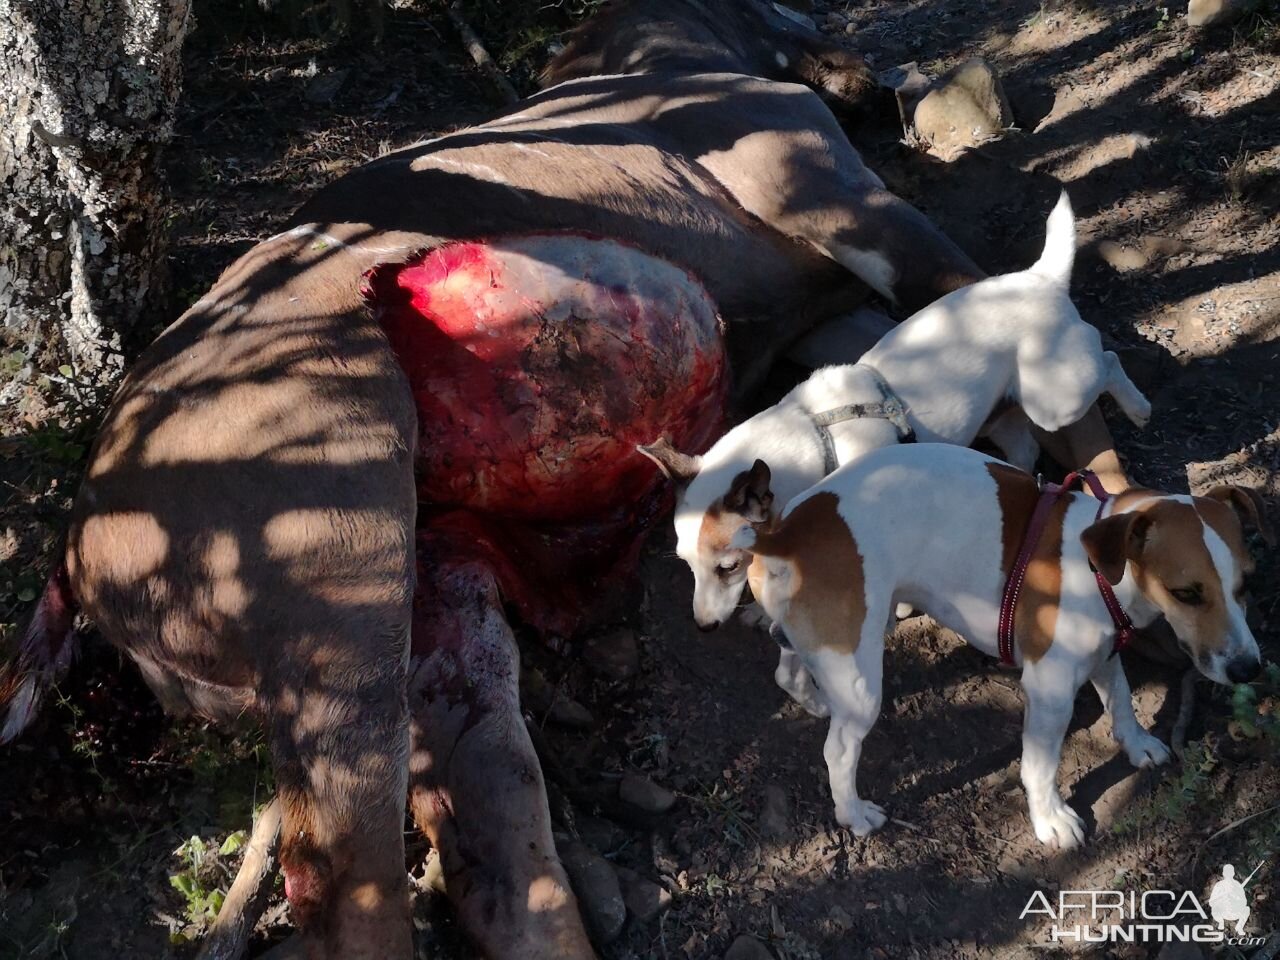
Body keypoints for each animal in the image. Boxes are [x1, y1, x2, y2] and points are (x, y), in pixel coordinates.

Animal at [640, 192, 1152, 716]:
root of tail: (1040, 277)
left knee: (1109, 360)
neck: (818, 437)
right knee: (1023, 445)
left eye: (728, 567)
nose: (703, 627)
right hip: (1009, 411)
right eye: (685, 562)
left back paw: (1138, 406)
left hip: (1056, 399)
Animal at [732, 442, 1269, 849]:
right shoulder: (1050, 690)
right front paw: (1050, 818)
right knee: (839, 749)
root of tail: (785, 534)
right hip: (863, 684)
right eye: (1187, 593)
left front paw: (1136, 743)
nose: (1249, 670)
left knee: (789, 669)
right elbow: (1040, 765)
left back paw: (819, 701)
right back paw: (854, 813)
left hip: (831, 637)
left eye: (1247, 583)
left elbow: (1120, 699)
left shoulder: (1103, 652)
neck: (1099, 567)